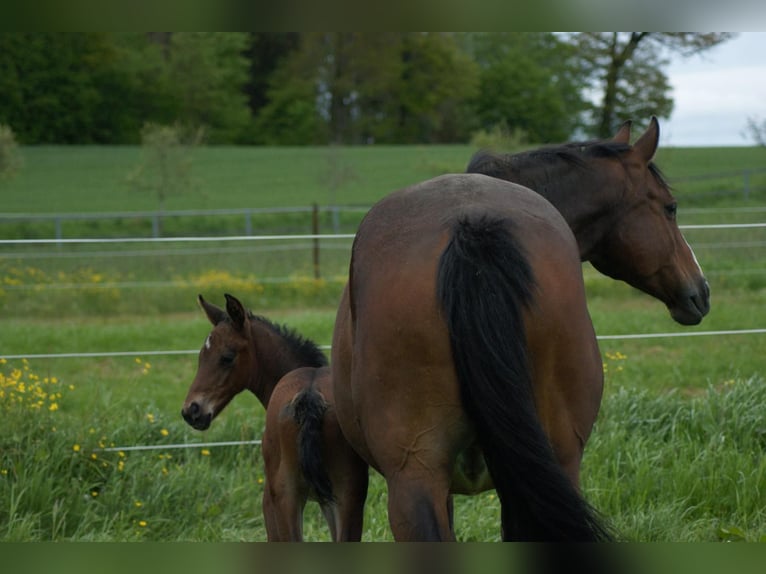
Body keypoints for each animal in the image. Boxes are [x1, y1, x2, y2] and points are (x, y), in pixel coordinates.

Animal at [183, 296, 368, 544]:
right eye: (202, 356)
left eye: (227, 357)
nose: (191, 410)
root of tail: (309, 394)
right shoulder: (330, 501)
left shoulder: (268, 502)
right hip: (348, 496)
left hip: (285, 498)